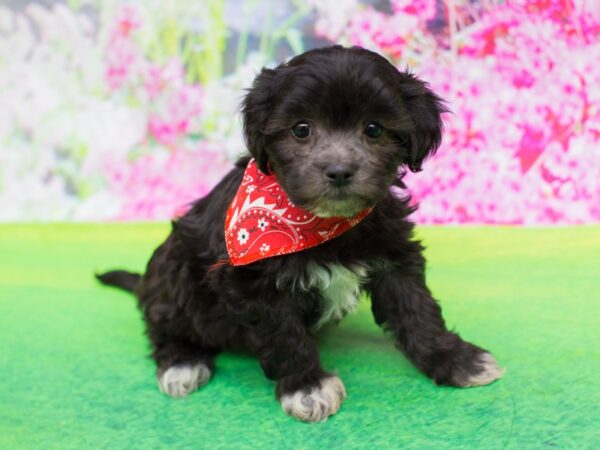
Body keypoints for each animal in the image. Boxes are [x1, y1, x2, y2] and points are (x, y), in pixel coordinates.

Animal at [97, 44, 502, 422]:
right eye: (301, 129)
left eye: (374, 129)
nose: (339, 171)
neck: (323, 224)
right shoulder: (252, 281)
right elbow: (284, 334)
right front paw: (307, 386)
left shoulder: (394, 257)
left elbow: (417, 310)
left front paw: (455, 359)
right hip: (173, 272)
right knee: (162, 325)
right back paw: (182, 361)